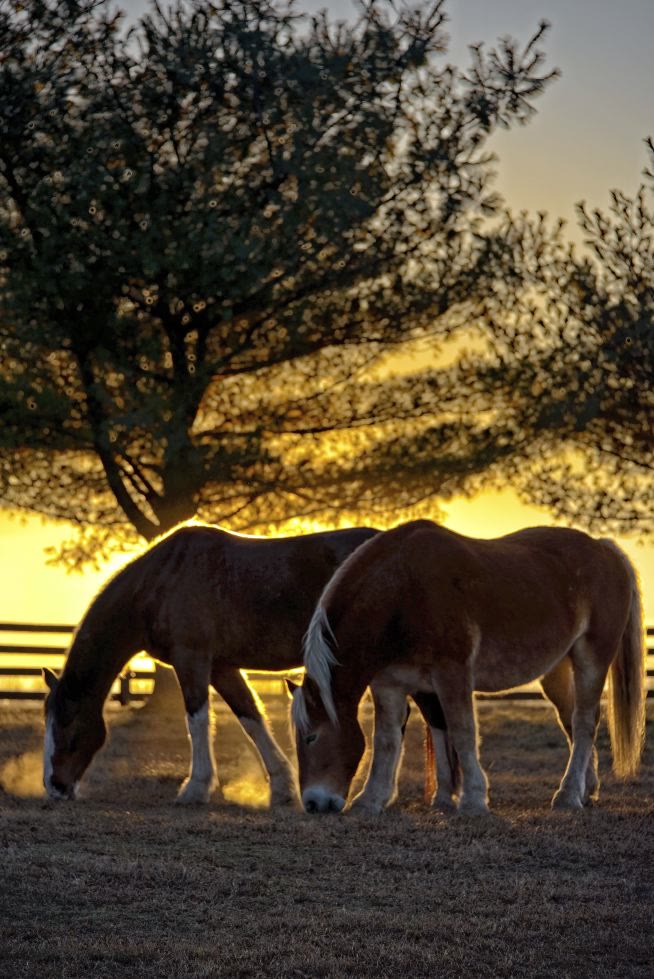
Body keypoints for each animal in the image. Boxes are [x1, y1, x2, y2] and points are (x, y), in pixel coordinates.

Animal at [291, 520, 646, 815]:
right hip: (557, 670)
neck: (403, 592)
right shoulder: (388, 684)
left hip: (592, 658)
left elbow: (463, 732)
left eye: (311, 737)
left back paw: (568, 795)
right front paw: (371, 800)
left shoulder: (453, 674)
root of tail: (604, 548)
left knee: (585, 722)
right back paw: (586, 790)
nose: (313, 803)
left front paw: (474, 799)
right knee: (572, 719)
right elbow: (386, 740)